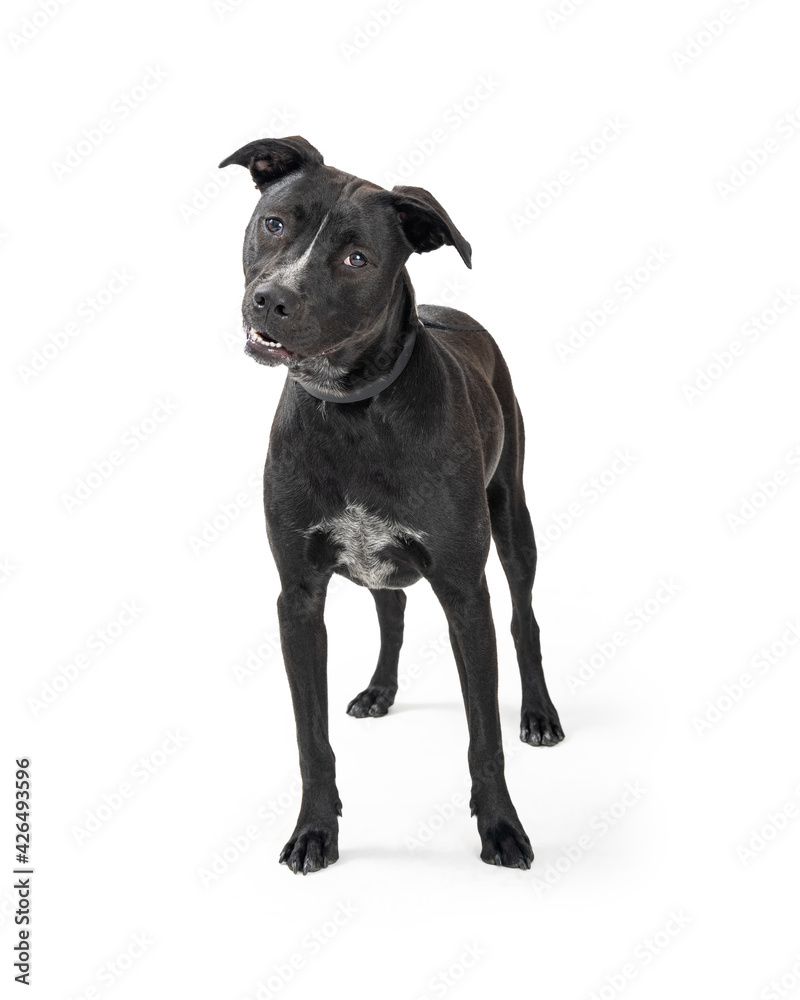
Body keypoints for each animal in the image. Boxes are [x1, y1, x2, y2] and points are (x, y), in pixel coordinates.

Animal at [220, 135, 564, 876]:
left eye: (357, 259)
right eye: (275, 223)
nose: (270, 299)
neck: (352, 408)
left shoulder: (466, 592)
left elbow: (484, 737)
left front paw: (502, 827)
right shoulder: (298, 597)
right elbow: (311, 739)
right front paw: (315, 831)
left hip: (512, 516)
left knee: (525, 617)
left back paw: (540, 714)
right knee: (394, 611)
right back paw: (380, 690)